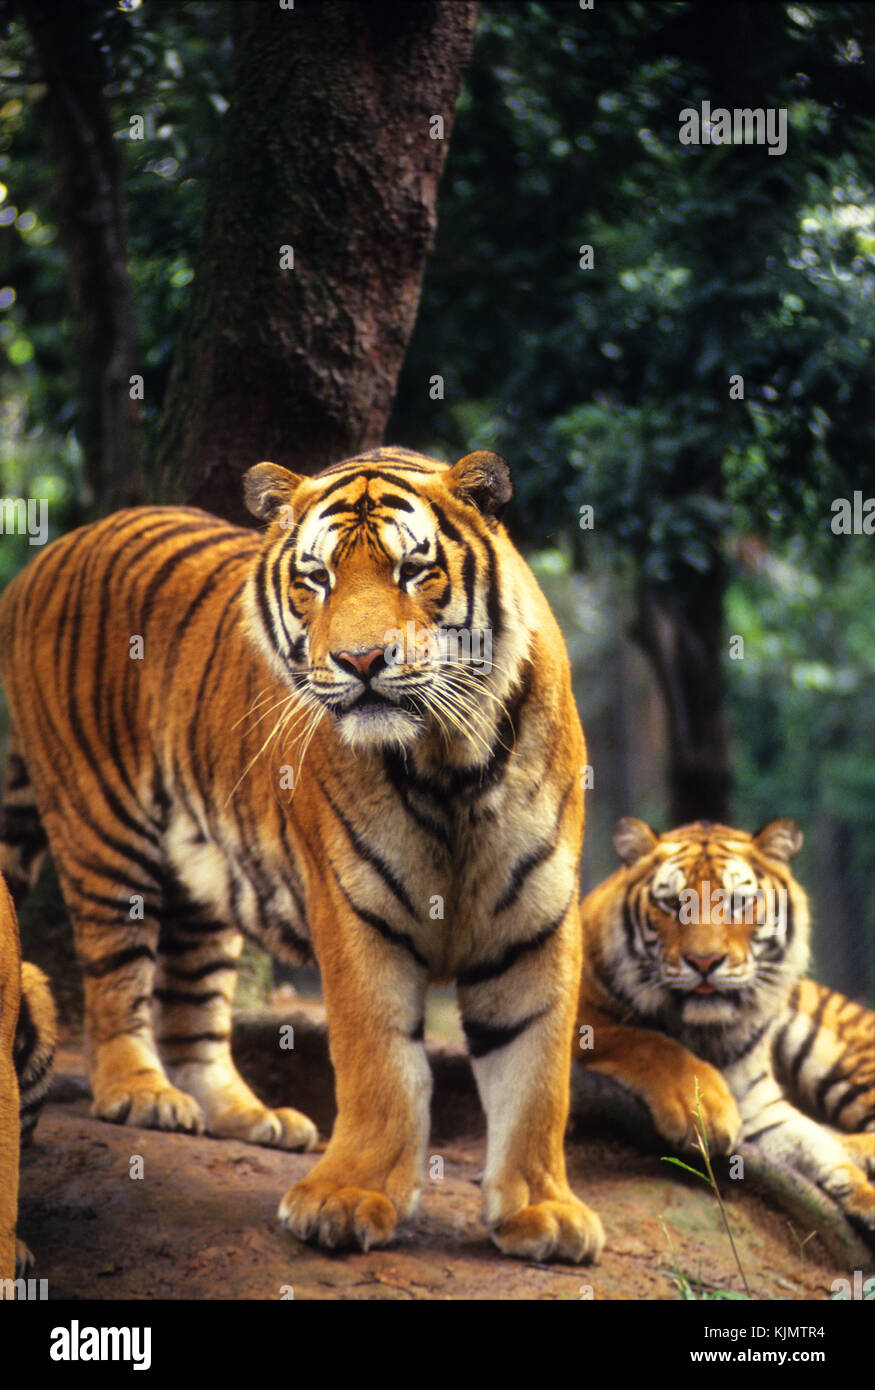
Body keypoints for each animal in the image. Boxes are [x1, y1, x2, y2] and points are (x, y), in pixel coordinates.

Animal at [0, 446, 604, 1263]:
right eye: (315, 578)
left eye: (414, 571)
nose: (361, 659)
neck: (451, 766)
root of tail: (51, 553)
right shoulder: (355, 908)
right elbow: (378, 1061)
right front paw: (347, 1200)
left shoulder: (536, 917)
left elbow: (537, 1076)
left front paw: (543, 1211)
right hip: (104, 830)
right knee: (114, 982)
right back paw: (139, 1093)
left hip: (204, 869)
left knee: (193, 1010)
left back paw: (247, 1116)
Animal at [575, 817, 875, 1241]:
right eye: (672, 903)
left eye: (737, 902)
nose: (704, 961)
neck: (707, 1032)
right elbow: (644, 1040)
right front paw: (705, 1113)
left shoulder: (761, 1107)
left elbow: (812, 1144)